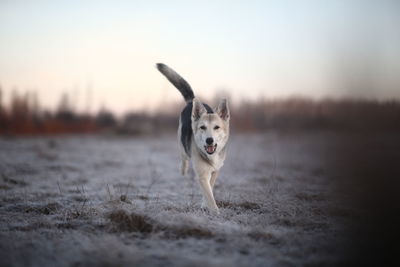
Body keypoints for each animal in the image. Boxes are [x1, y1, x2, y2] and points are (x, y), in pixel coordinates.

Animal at [157, 63, 231, 215]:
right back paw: (183, 169)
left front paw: (204, 205)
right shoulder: (202, 175)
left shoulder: (215, 171)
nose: (209, 140)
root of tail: (192, 101)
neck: (210, 156)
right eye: (202, 127)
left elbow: (209, 189)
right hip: (181, 140)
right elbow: (209, 194)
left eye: (216, 127)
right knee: (183, 156)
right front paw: (215, 212)